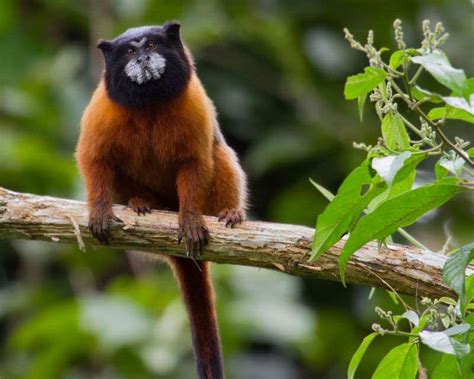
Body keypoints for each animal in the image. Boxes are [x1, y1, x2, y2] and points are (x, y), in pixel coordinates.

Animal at [75, 21, 246, 379]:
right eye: (130, 51)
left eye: (152, 45)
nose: (143, 58)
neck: (149, 103)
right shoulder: (102, 108)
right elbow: (94, 159)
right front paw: (100, 211)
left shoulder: (195, 103)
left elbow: (195, 162)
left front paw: (190, 219)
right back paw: (141, 202)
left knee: (220, 152)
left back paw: (229, 212)